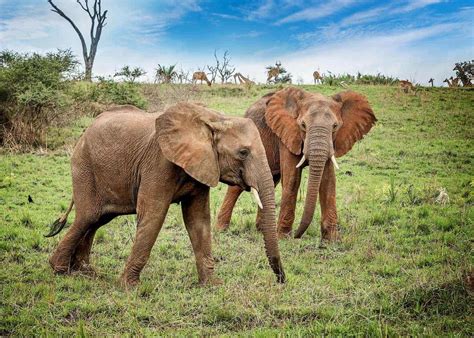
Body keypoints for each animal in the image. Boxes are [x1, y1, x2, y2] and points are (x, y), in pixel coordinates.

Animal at [47, 102, 286, 286]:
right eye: (243, 152)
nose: (281, 280)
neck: (215, 119)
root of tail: (84, 132)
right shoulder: (159, 162)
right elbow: (154, 215)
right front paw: (130, 287)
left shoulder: (202, 165)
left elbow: (198, 220)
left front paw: (212, 285)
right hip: (84, 167)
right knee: (87, 217)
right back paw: (60, 270)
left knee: (97, 220)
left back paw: (85, 272)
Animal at [217, 87, 376, 240]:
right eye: (303, 125)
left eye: (335, 126)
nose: (297, 235)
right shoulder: (287, 135)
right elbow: (292, 179)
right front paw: (283, 237)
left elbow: (328, 182)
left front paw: (332, 240)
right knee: (237, 187)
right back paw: (222, 229)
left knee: (270, 181)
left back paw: (261, 230)